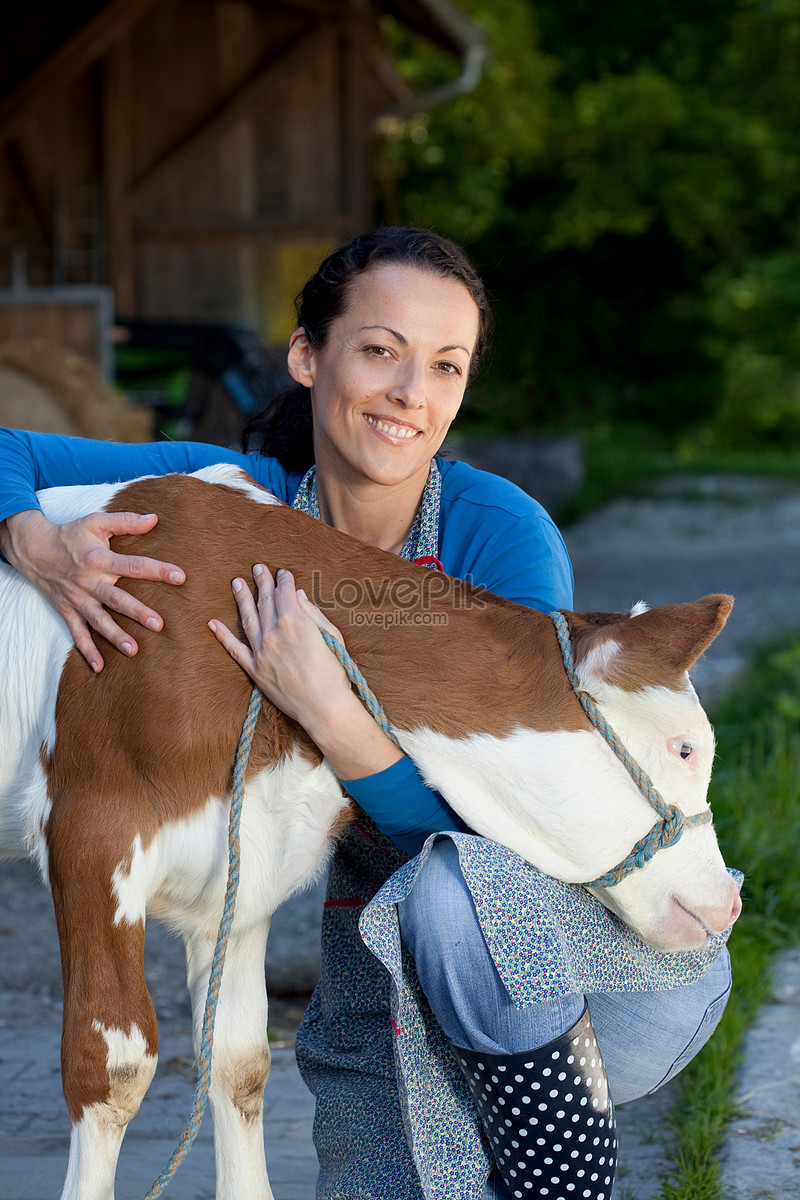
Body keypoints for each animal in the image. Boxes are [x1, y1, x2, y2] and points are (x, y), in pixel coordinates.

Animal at [0, 465, 743, 1200]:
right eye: (685, 749)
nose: (729, 902)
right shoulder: (90, 831)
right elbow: (112, 1068)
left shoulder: (245, 862)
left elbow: (238, 1061)